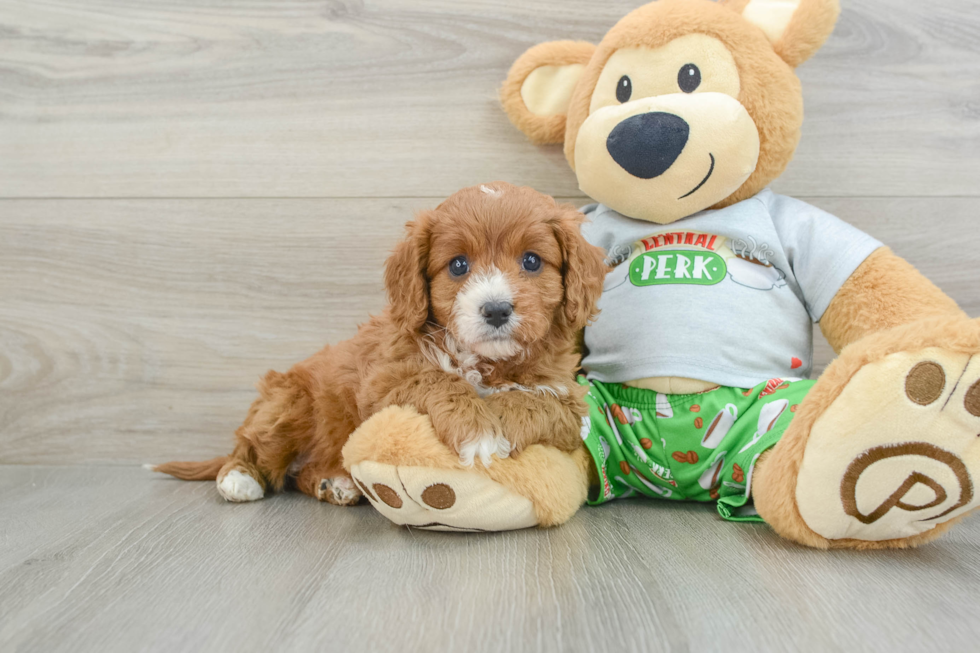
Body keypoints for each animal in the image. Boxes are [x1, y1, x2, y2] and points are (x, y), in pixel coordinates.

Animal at [149, 183, 608, 504]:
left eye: (531, 260)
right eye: (458, 265)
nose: (496, 310)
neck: (488, 362)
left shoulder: (569, 398)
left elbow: (535, 401)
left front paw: (497, 423)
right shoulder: (384, 381)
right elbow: (440, 381)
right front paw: (478, 431)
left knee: (300, 473)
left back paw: (334, 484)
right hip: (287, 404)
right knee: (252, 445)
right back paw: (239, 478)